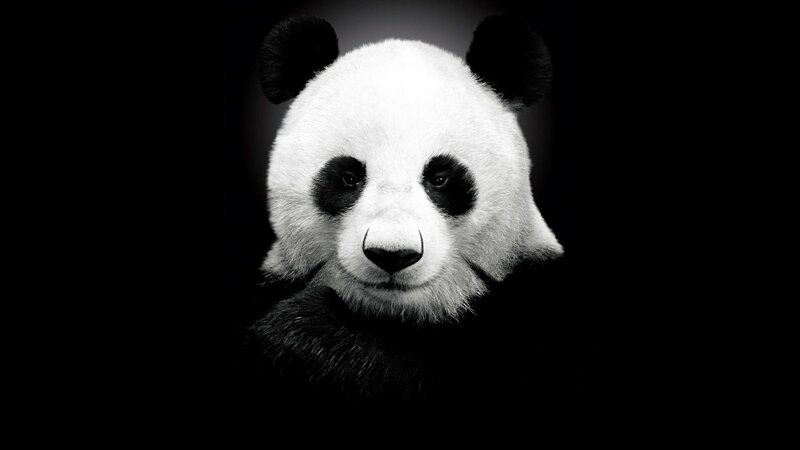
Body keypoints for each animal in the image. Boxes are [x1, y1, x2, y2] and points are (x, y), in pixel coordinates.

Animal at [240, 15, 583, 414]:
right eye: (349, 177)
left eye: (441, 178)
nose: (393, 254)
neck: (399, 316)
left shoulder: (538, 307)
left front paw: (303, 331)